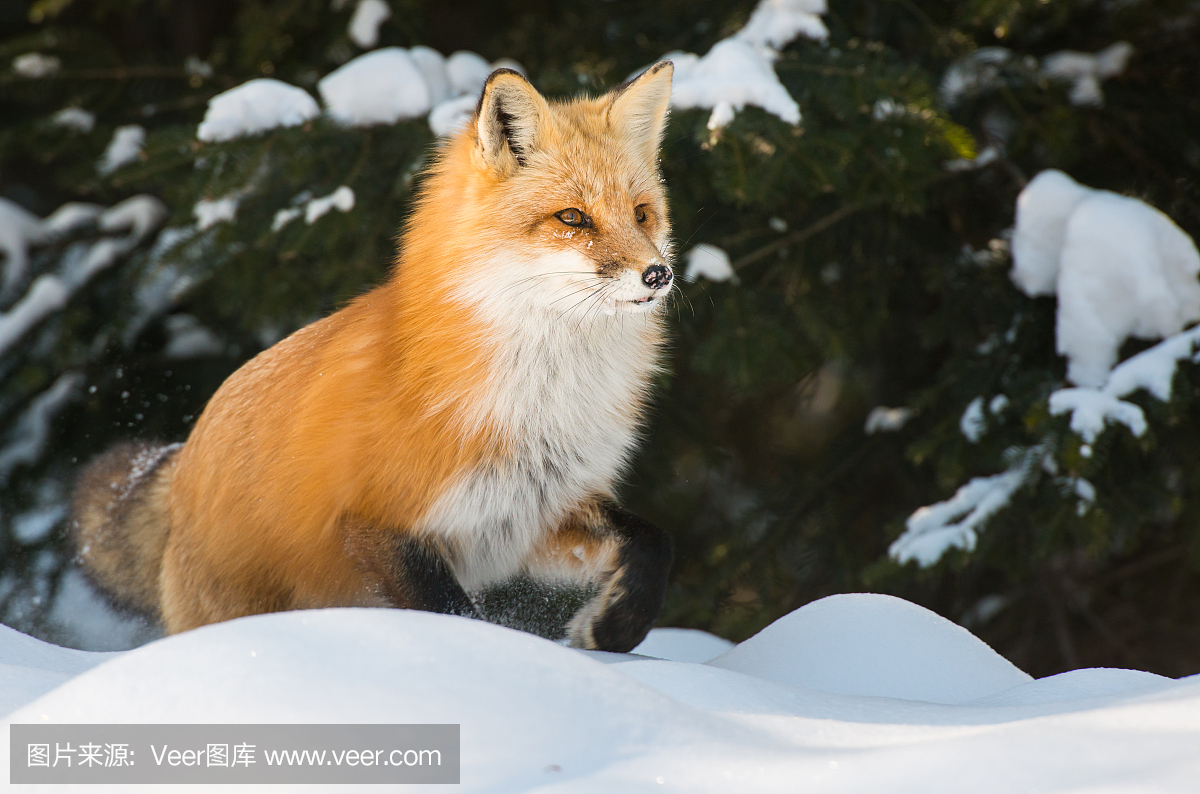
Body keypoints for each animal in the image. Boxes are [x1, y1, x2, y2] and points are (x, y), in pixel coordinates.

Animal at [72, 60, 676, 647]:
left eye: (641, 214)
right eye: (572, 218)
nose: (659, 274)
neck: (541, 403)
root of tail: (184, 463)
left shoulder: (532, 516)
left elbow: (652, 542)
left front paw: (611, 629)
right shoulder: (379, 524)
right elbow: (458, 621)